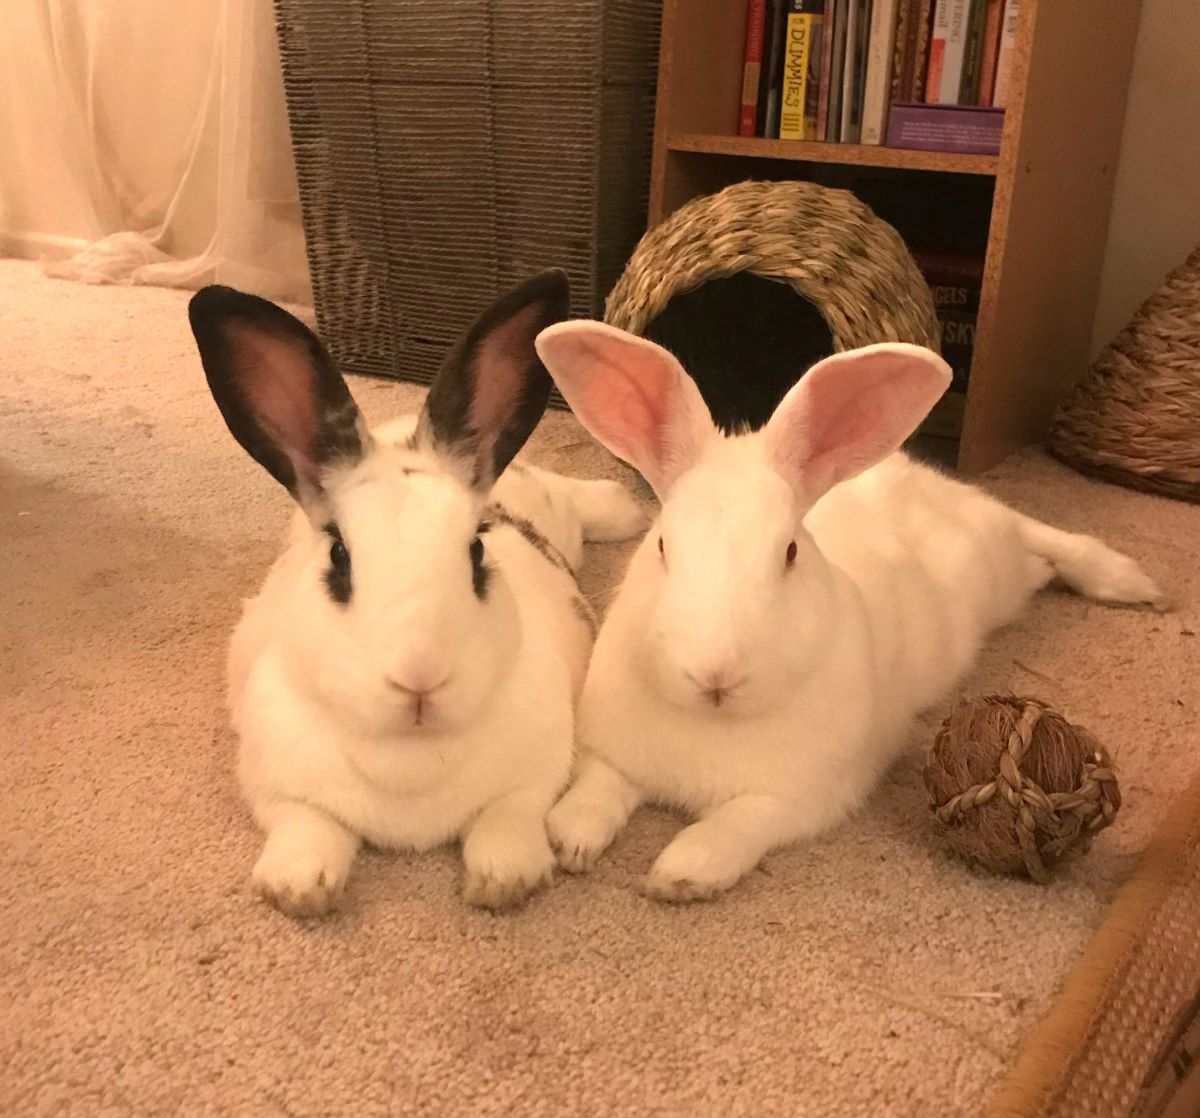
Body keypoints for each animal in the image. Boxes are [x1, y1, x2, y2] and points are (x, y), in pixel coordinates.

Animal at [188, 273, 648, 916]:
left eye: (477, 551)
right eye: (338, 557)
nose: (419, 678)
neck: (411, 754)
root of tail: (398, 429)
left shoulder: (535, 776)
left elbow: (509, 819)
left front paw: (504, 880)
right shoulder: (276, 787)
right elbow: (307, 827)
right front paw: (298, 889)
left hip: (552, 505)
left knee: (574, 499)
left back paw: (625, 508)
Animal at [535, 321, 1161, 897]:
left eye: (789, 552)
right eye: (664, 545)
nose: (715, 674)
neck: (713, 721)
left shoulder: (803, 796)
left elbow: (740, 822)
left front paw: (682, 873)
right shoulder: (612, 756)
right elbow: (598, 787)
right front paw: (569, 839)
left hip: (995, 554)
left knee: (1038, 533)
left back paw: (1130, 582)